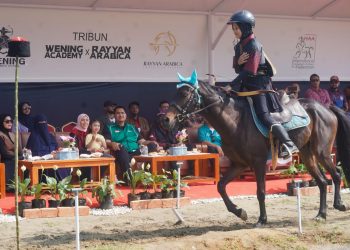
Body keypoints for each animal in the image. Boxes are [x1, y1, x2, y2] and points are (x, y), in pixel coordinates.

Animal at [165, 78, 350, 227]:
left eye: (184, 93)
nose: (166, 119)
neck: (236, 121)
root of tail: (326, 107)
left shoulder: (258, 162)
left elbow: (260, 192)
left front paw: (262, 219)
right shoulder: (239, 164)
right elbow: (221, 186)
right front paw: (240, 212)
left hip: (322, 152)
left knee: (336, 173)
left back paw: (338, 204)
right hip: (307, 155)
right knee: (322, 182)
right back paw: (321, 214)